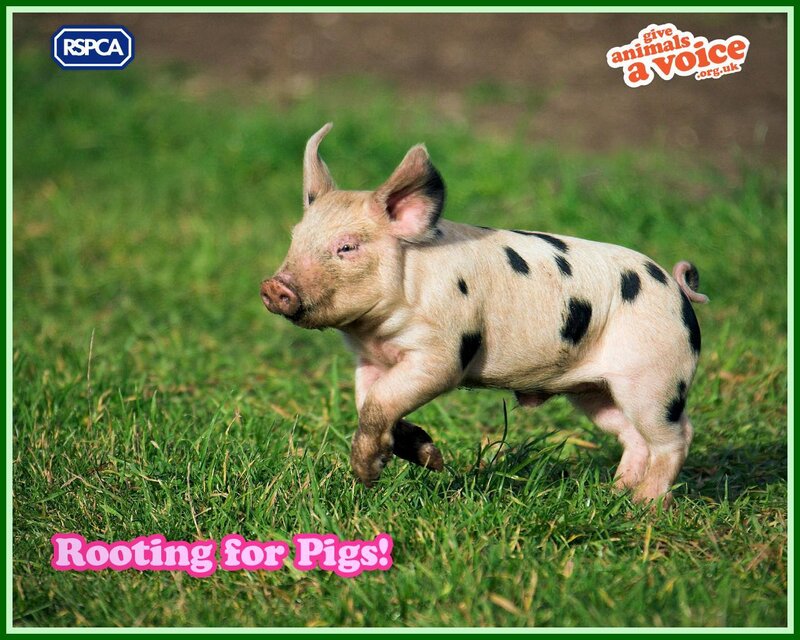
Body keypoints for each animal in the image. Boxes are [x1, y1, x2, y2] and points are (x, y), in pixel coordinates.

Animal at [261, 123, 708, 504]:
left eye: (347, 247)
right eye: (295, 238)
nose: (273, 287)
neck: (376, 331)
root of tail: (677, 291)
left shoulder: (441, 352)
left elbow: (381, 401)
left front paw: (368, 475)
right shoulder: (370, 359)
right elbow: (368, 400)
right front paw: (430, 458)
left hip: (654, 376)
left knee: (676, 436)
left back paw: (643, 507)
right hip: (596, 392)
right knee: (632, 436)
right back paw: (614, 495)